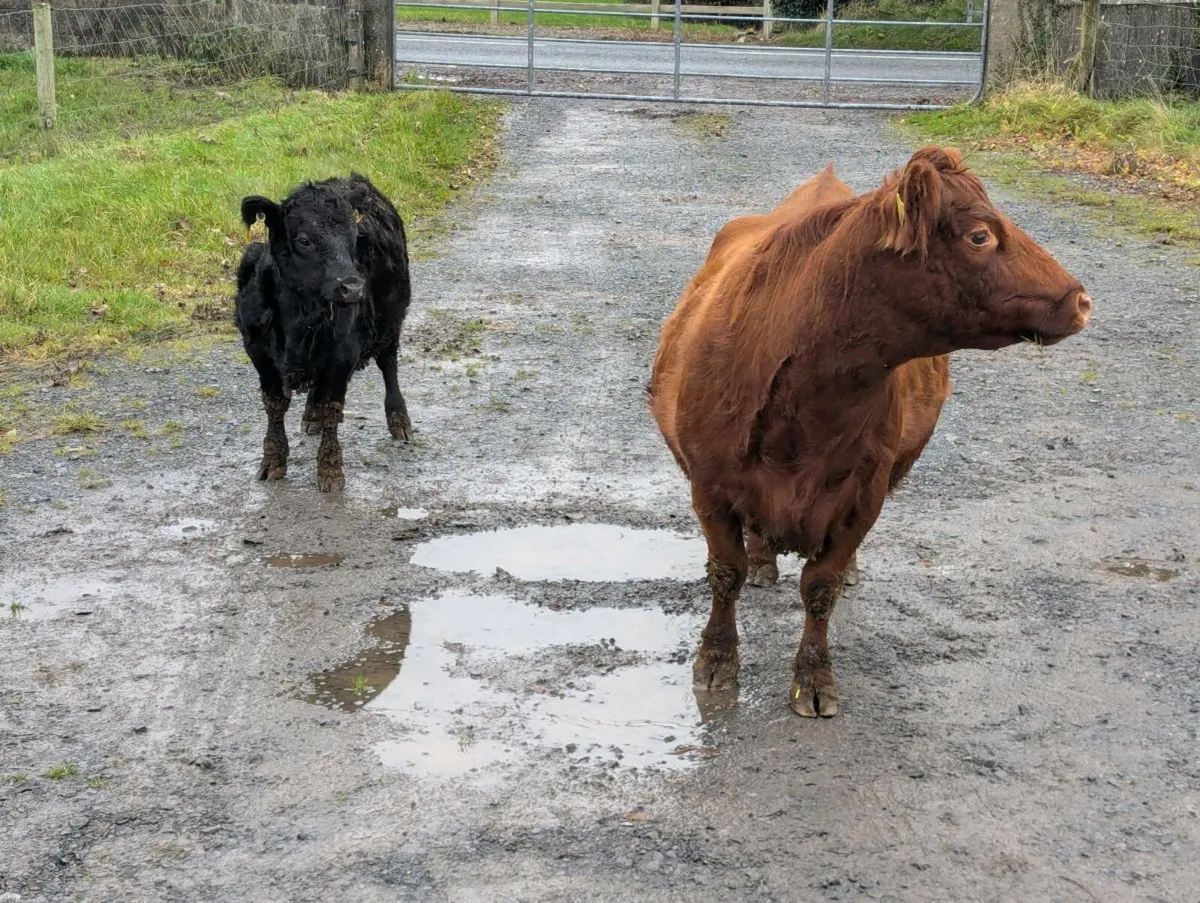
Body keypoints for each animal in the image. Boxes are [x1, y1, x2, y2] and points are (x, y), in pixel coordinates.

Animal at [234, 173, 413, 492]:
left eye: (354, 237)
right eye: (304, 240)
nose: (353, 288)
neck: (299, 318)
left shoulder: (343, 354)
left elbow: (333, 408)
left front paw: (330, 470)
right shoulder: (257, 352)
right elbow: (274, 405)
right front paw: (272, 460)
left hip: (392, 320)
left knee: (388, 365)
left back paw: (399, 420)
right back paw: (311, 415)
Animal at [648, 146, 1093, 717]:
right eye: (980, 236)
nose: (1081, 301)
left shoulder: (866, 493)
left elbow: (822, 586)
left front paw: (814, 678)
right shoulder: (709, 483)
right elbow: (726, 574)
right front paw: (716, 661)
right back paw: (764, 559)